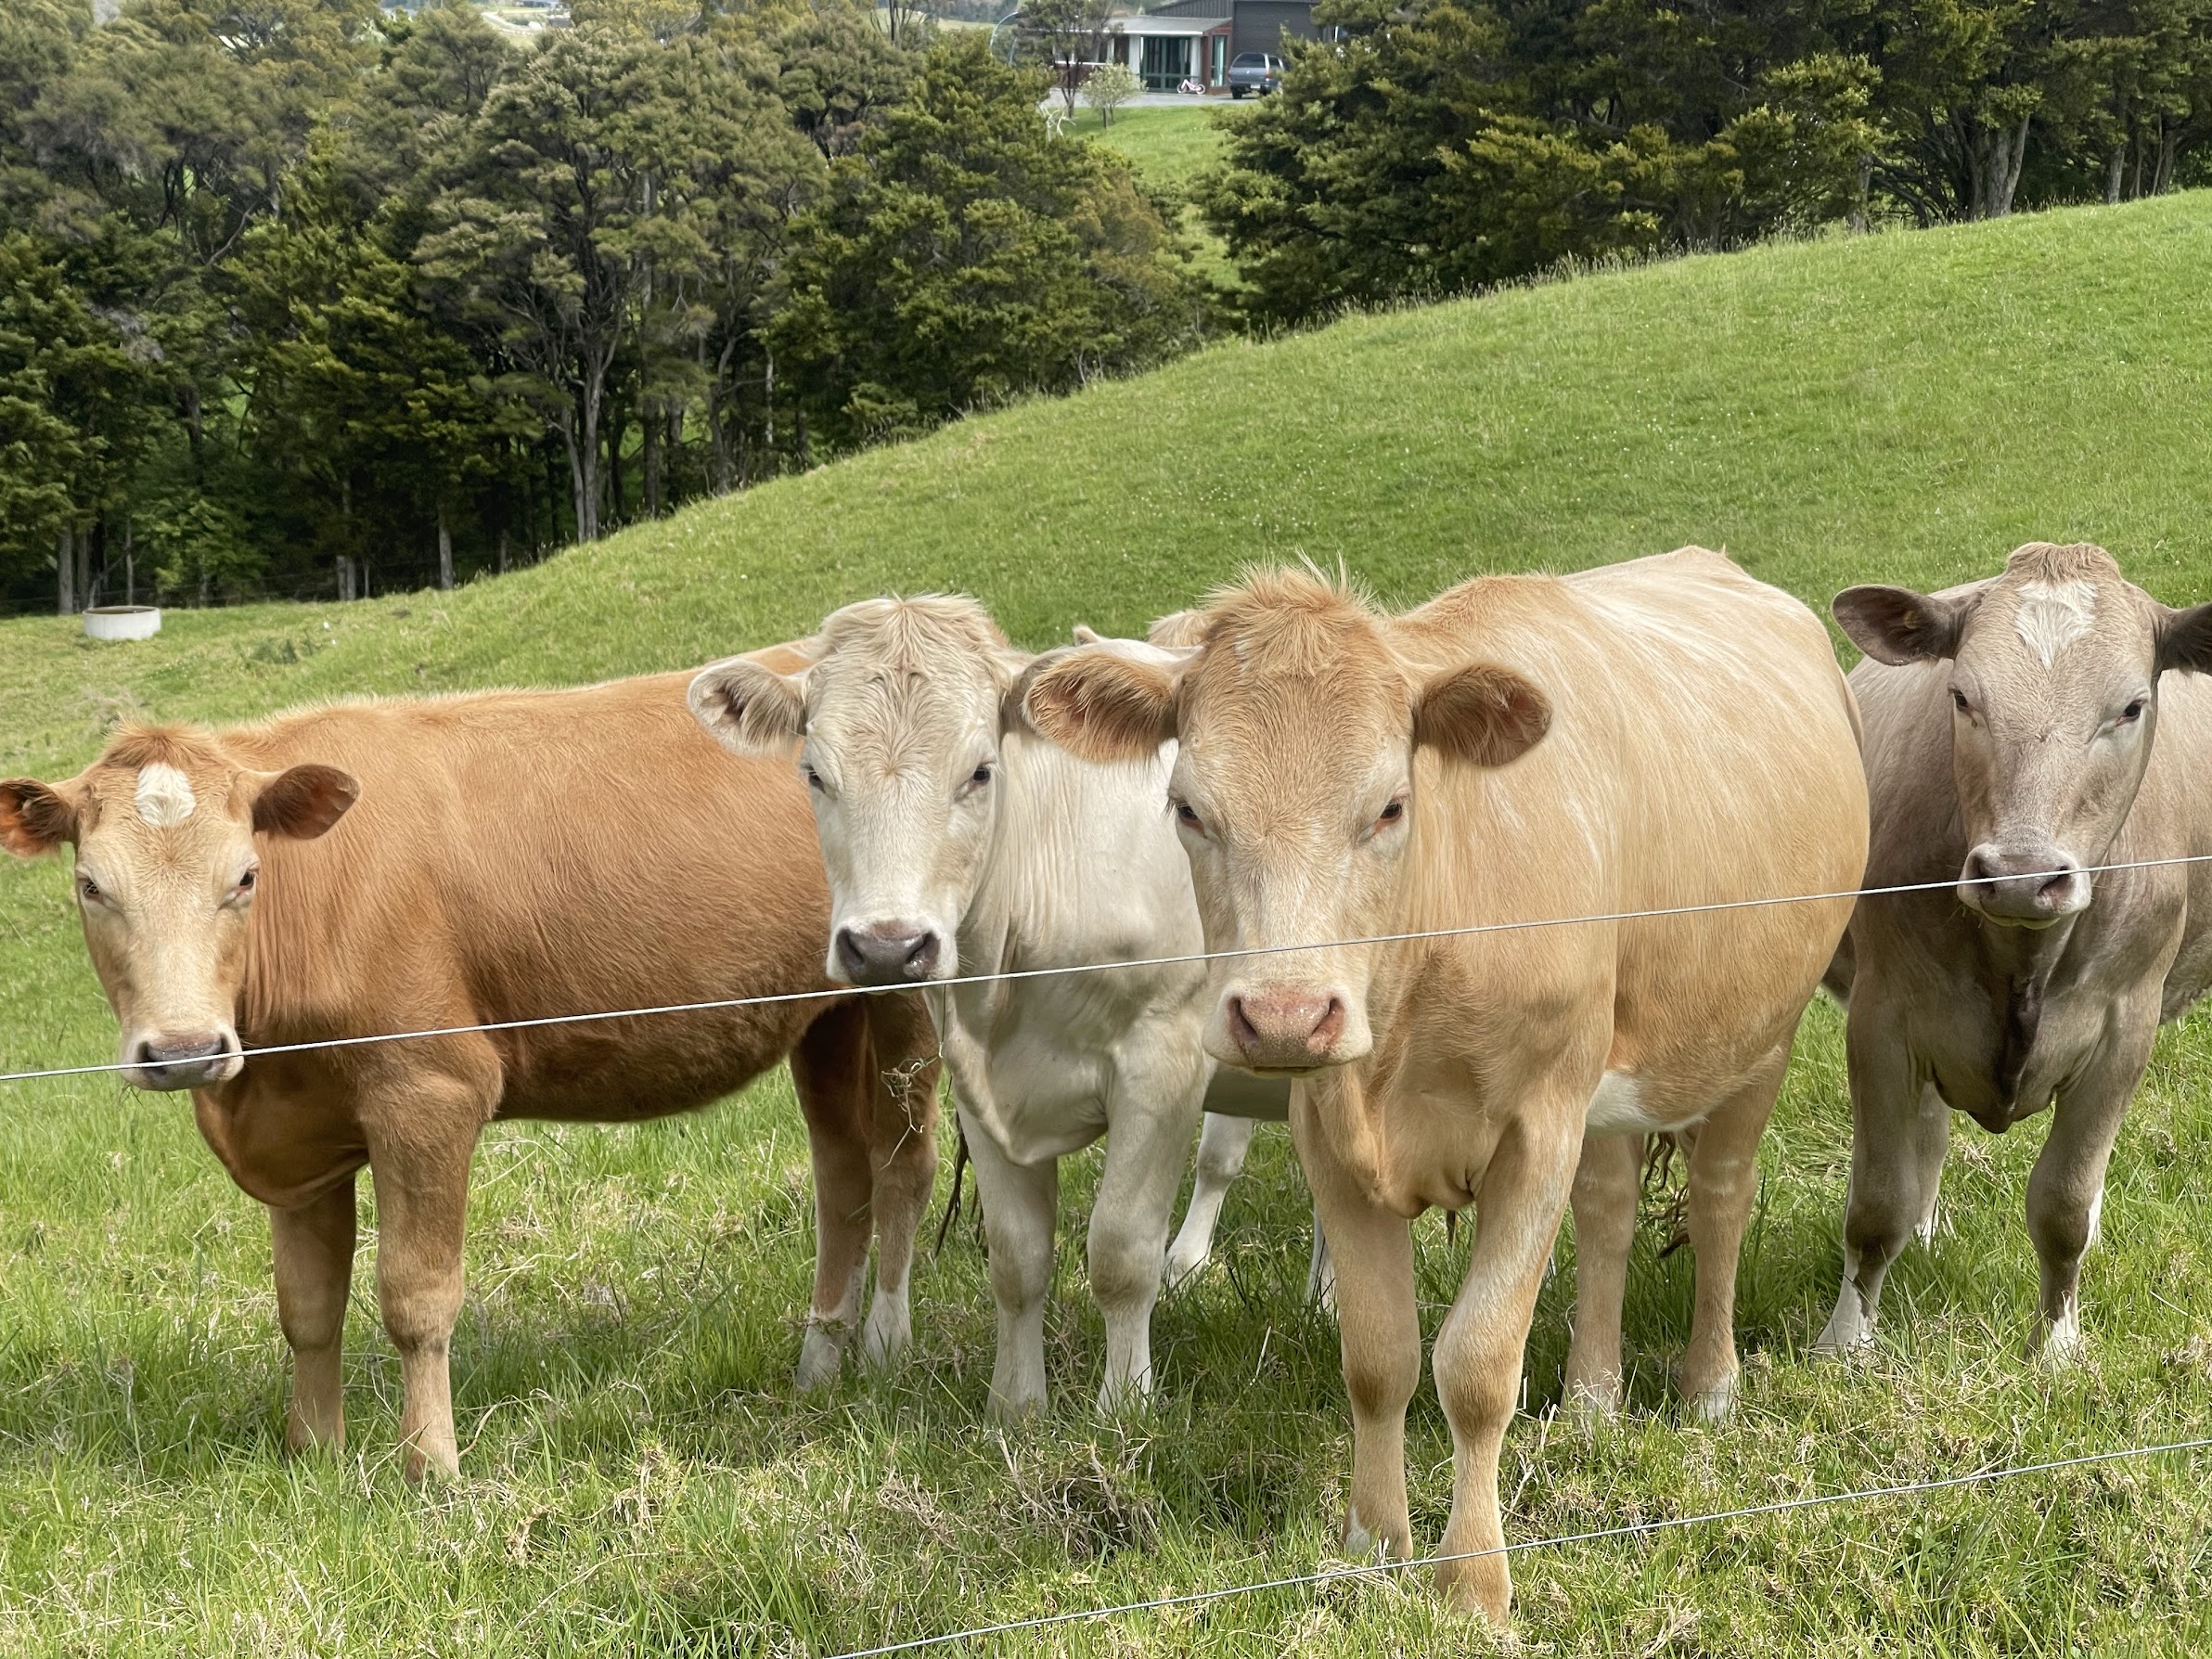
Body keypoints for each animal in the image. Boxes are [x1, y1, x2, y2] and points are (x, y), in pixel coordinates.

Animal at [0, 668, 939, 1479]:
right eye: (90, 885)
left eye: (245, 876)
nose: (186, 1050)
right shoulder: (298, 1126)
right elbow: (307, 1307)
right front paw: (314, 1457)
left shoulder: (429, 1092)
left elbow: (417, 1298)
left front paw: (432, 1468)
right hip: (826, 1016)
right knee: (842, 1177)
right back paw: (819, 1367)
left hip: (908, 988)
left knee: (902, 1160)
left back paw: (889, 1351)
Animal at [688, 597, 1304, 1420]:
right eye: (814, 773)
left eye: (981, 772)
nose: (887, 949)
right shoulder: (977, 1081)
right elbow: (1017, 1260)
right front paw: (1014, 1411)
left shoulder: (1161, 1061)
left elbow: (1121, 1251)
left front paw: (1125, 1409)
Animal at [1019, 548, 1867, 1621]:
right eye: (1188, 809)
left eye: (1389, 805)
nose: (1285, 1015)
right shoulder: (1330, 1136)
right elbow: (1378, 1356)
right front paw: (1371, 1545)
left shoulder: (1538, 1126)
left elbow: (1475, 1362)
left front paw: (1472, 1580)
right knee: (1608, 1212)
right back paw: (1592, 1402)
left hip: (1758, 1035)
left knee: (1720, 1201)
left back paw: (1707, 1387)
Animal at [1815, 542, 2212, 1362]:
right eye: (1962, 696)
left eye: (2132, 706)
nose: (2023, 875)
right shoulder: (1881, 1019)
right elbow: (1875, 1203)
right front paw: (1845, 1340)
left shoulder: (2125, 1031)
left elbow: (2064, 1207)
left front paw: (2056, 1348)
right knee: (1926, 1139)